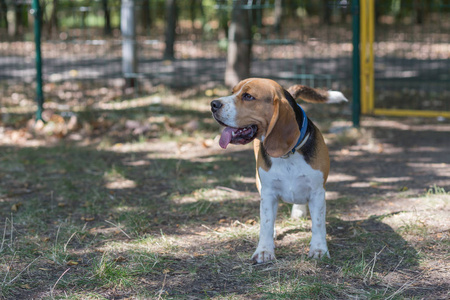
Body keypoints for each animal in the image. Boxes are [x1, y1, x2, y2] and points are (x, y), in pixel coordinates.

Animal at [211, 77, 348, 262]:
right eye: (233, 91)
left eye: (248, 96)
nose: (213, 104)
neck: (288, 155)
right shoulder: (268, 192)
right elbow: (267, 222)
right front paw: (264, 250)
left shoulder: (318, 192)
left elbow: (318, 223)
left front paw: (319, 249)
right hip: (260, 183)